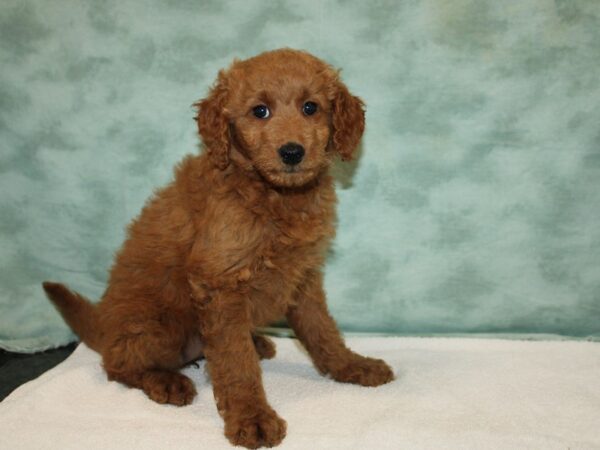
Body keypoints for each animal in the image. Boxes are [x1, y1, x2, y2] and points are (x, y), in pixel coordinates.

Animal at [43, 47, 394, 448]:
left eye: (311, 107)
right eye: (260, 111)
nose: (292, 152)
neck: (274, 197)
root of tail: (103, 327)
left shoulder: (303, 276)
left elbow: (322, 330)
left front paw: (352, 366)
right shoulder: (220, 284)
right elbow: (235, 361)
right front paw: (252, 417)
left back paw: (255, 343)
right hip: (157, 324)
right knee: (119, 365)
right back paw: (166, 381)